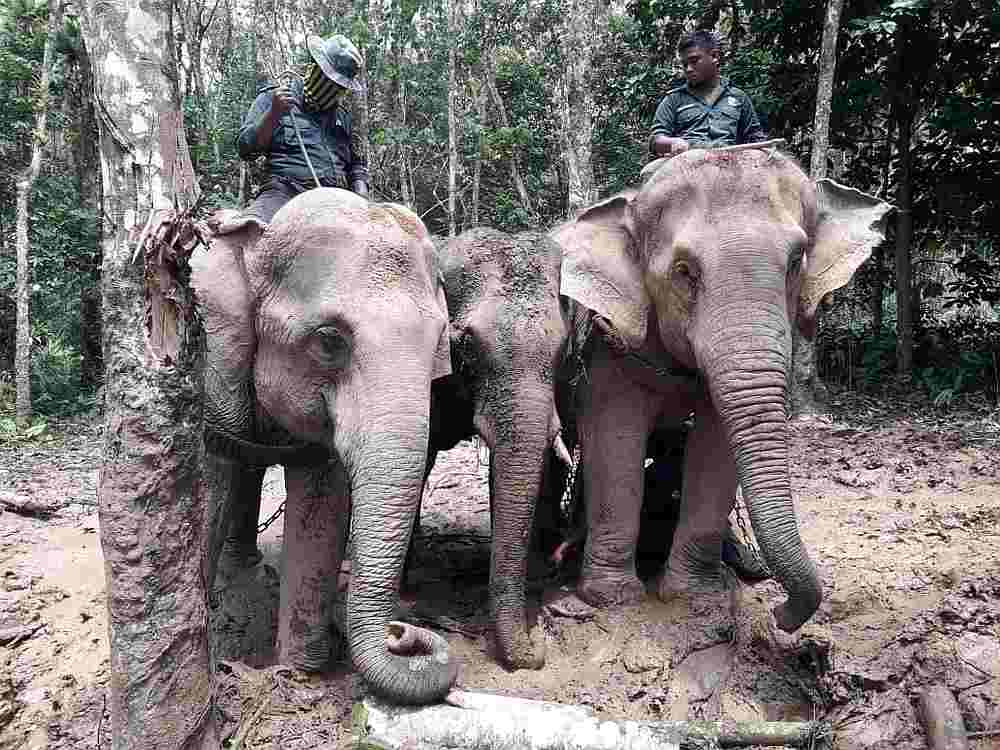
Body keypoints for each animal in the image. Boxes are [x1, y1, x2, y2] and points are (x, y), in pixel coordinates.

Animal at [192, 187, 459, 704]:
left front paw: (295, 673)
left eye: (441, 340)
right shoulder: (210, 359)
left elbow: (321, 501)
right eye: (330, 341)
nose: (403, 632)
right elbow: (208, 481)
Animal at [551, 148, 891, 633]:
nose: (780, 614)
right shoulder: (611, 342)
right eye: (684, 272)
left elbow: (716, 448)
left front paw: (692, 595)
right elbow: (615, 439)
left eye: (796, 261)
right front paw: (611, 599)